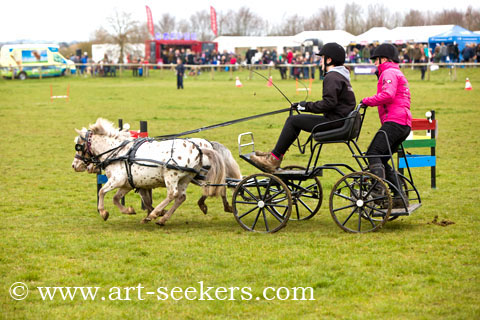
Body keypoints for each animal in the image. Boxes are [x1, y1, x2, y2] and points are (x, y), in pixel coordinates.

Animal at [72, 119, 235, 226]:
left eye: (78, 146)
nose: (74, 165)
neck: (119, 152)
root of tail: (201, 148)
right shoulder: (128, 184)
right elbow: (117, 198)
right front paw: (129, 210)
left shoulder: (117, 180)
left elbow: (102, 192)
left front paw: (103, 212)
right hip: (186, 178)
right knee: (183, 196)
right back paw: (162, 218)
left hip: (172, 176)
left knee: (174, 194)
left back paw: (155, 214)